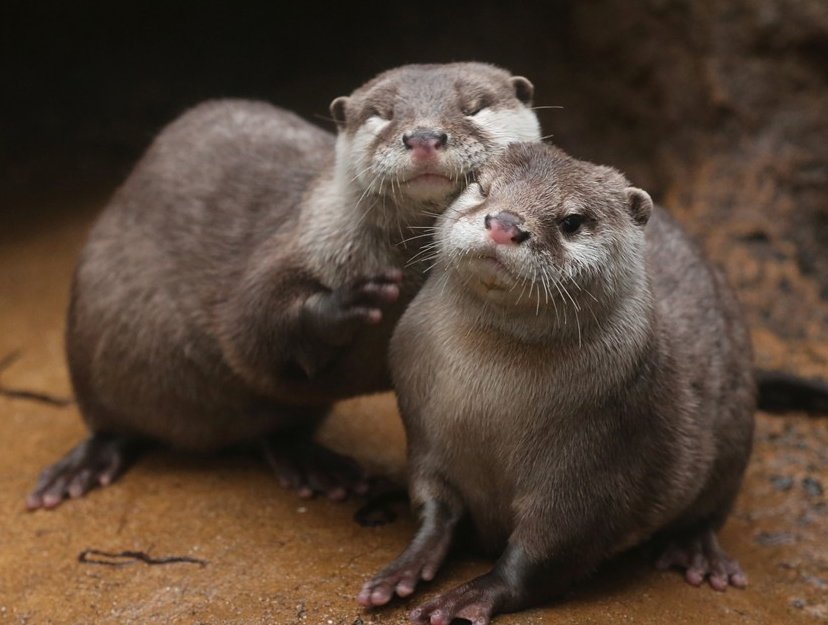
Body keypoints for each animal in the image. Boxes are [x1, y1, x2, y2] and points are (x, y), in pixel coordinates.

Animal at [25, 62, 540, 508]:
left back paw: (309, 462)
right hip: (93, 332)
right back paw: (84, 464)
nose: (425, 136)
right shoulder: (294, 244)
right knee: (110, 418)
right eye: (383, 114)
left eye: (473, 107)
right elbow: (246, 328)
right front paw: (345, 303)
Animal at [360, 143, 752, 624]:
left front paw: (471, 595)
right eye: (482, 188)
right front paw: (406, 567)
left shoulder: (596, 468)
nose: (505, 224)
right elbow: (435, 509)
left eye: (572, 221)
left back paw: (696, 549)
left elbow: (545, 553)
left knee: (713, 505)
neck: (485, 403)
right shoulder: (426, 437)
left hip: (734, 434)